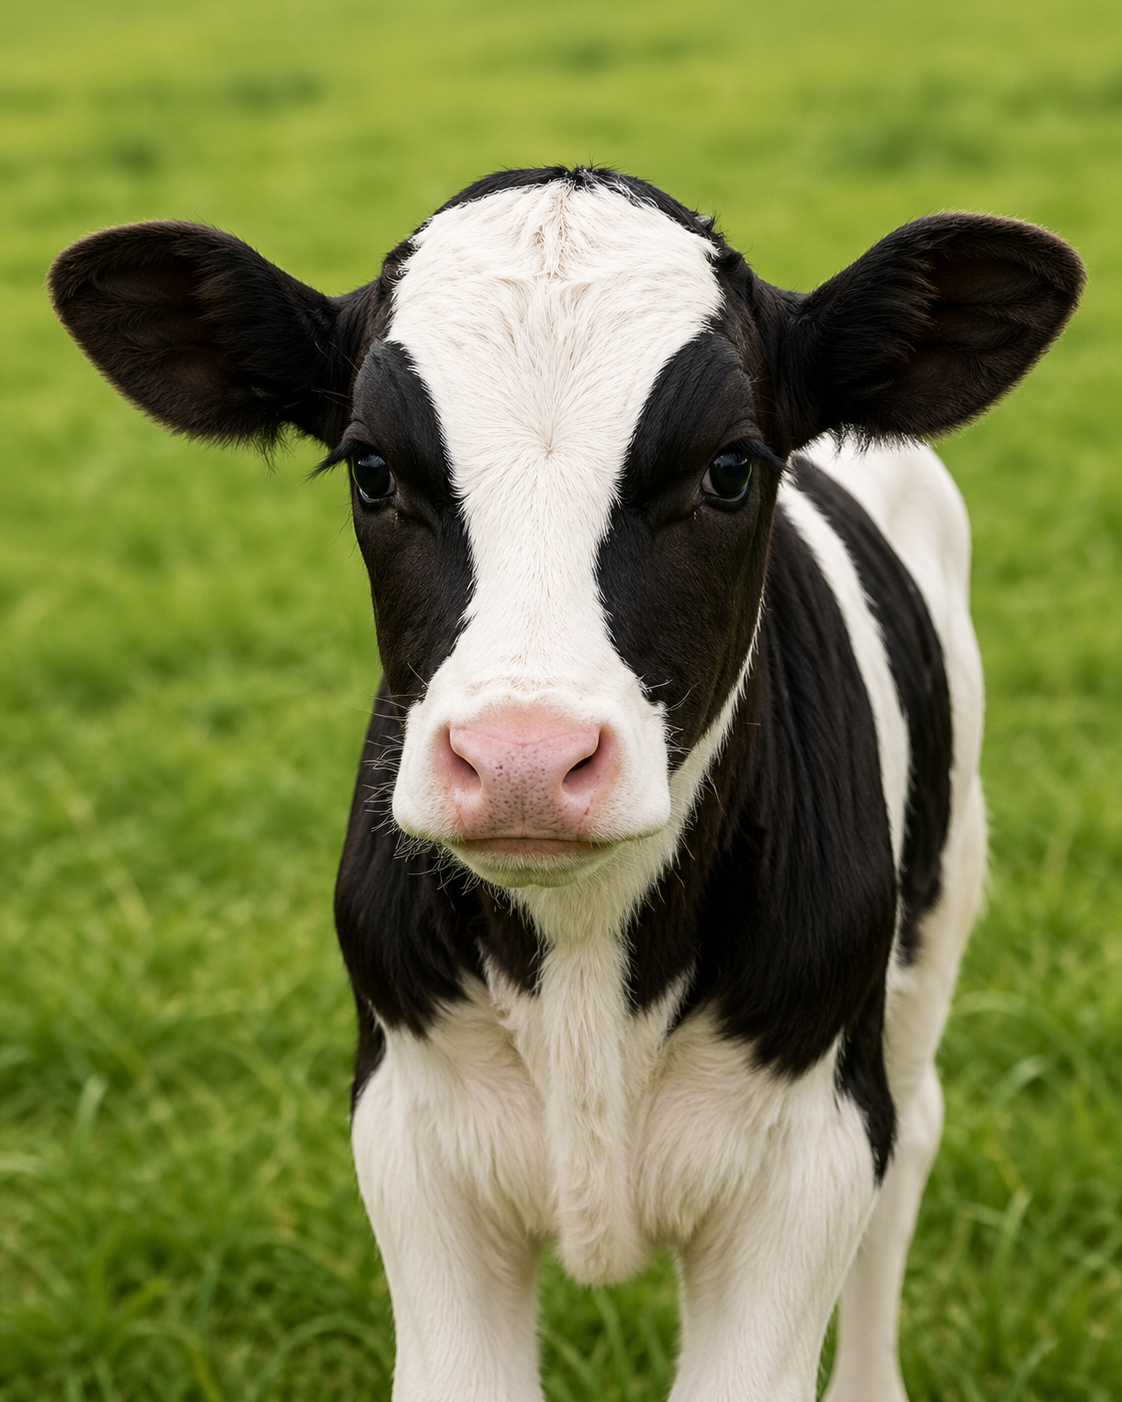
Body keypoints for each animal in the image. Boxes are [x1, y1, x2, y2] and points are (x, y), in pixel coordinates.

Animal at [49, 167, 1083, 1401]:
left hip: (938, 913)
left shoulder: (811, 1157)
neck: (586, 965)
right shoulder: (410, 1138)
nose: (524, 759)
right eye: (371, 468)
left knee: (916, 1134)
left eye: (730, 469)